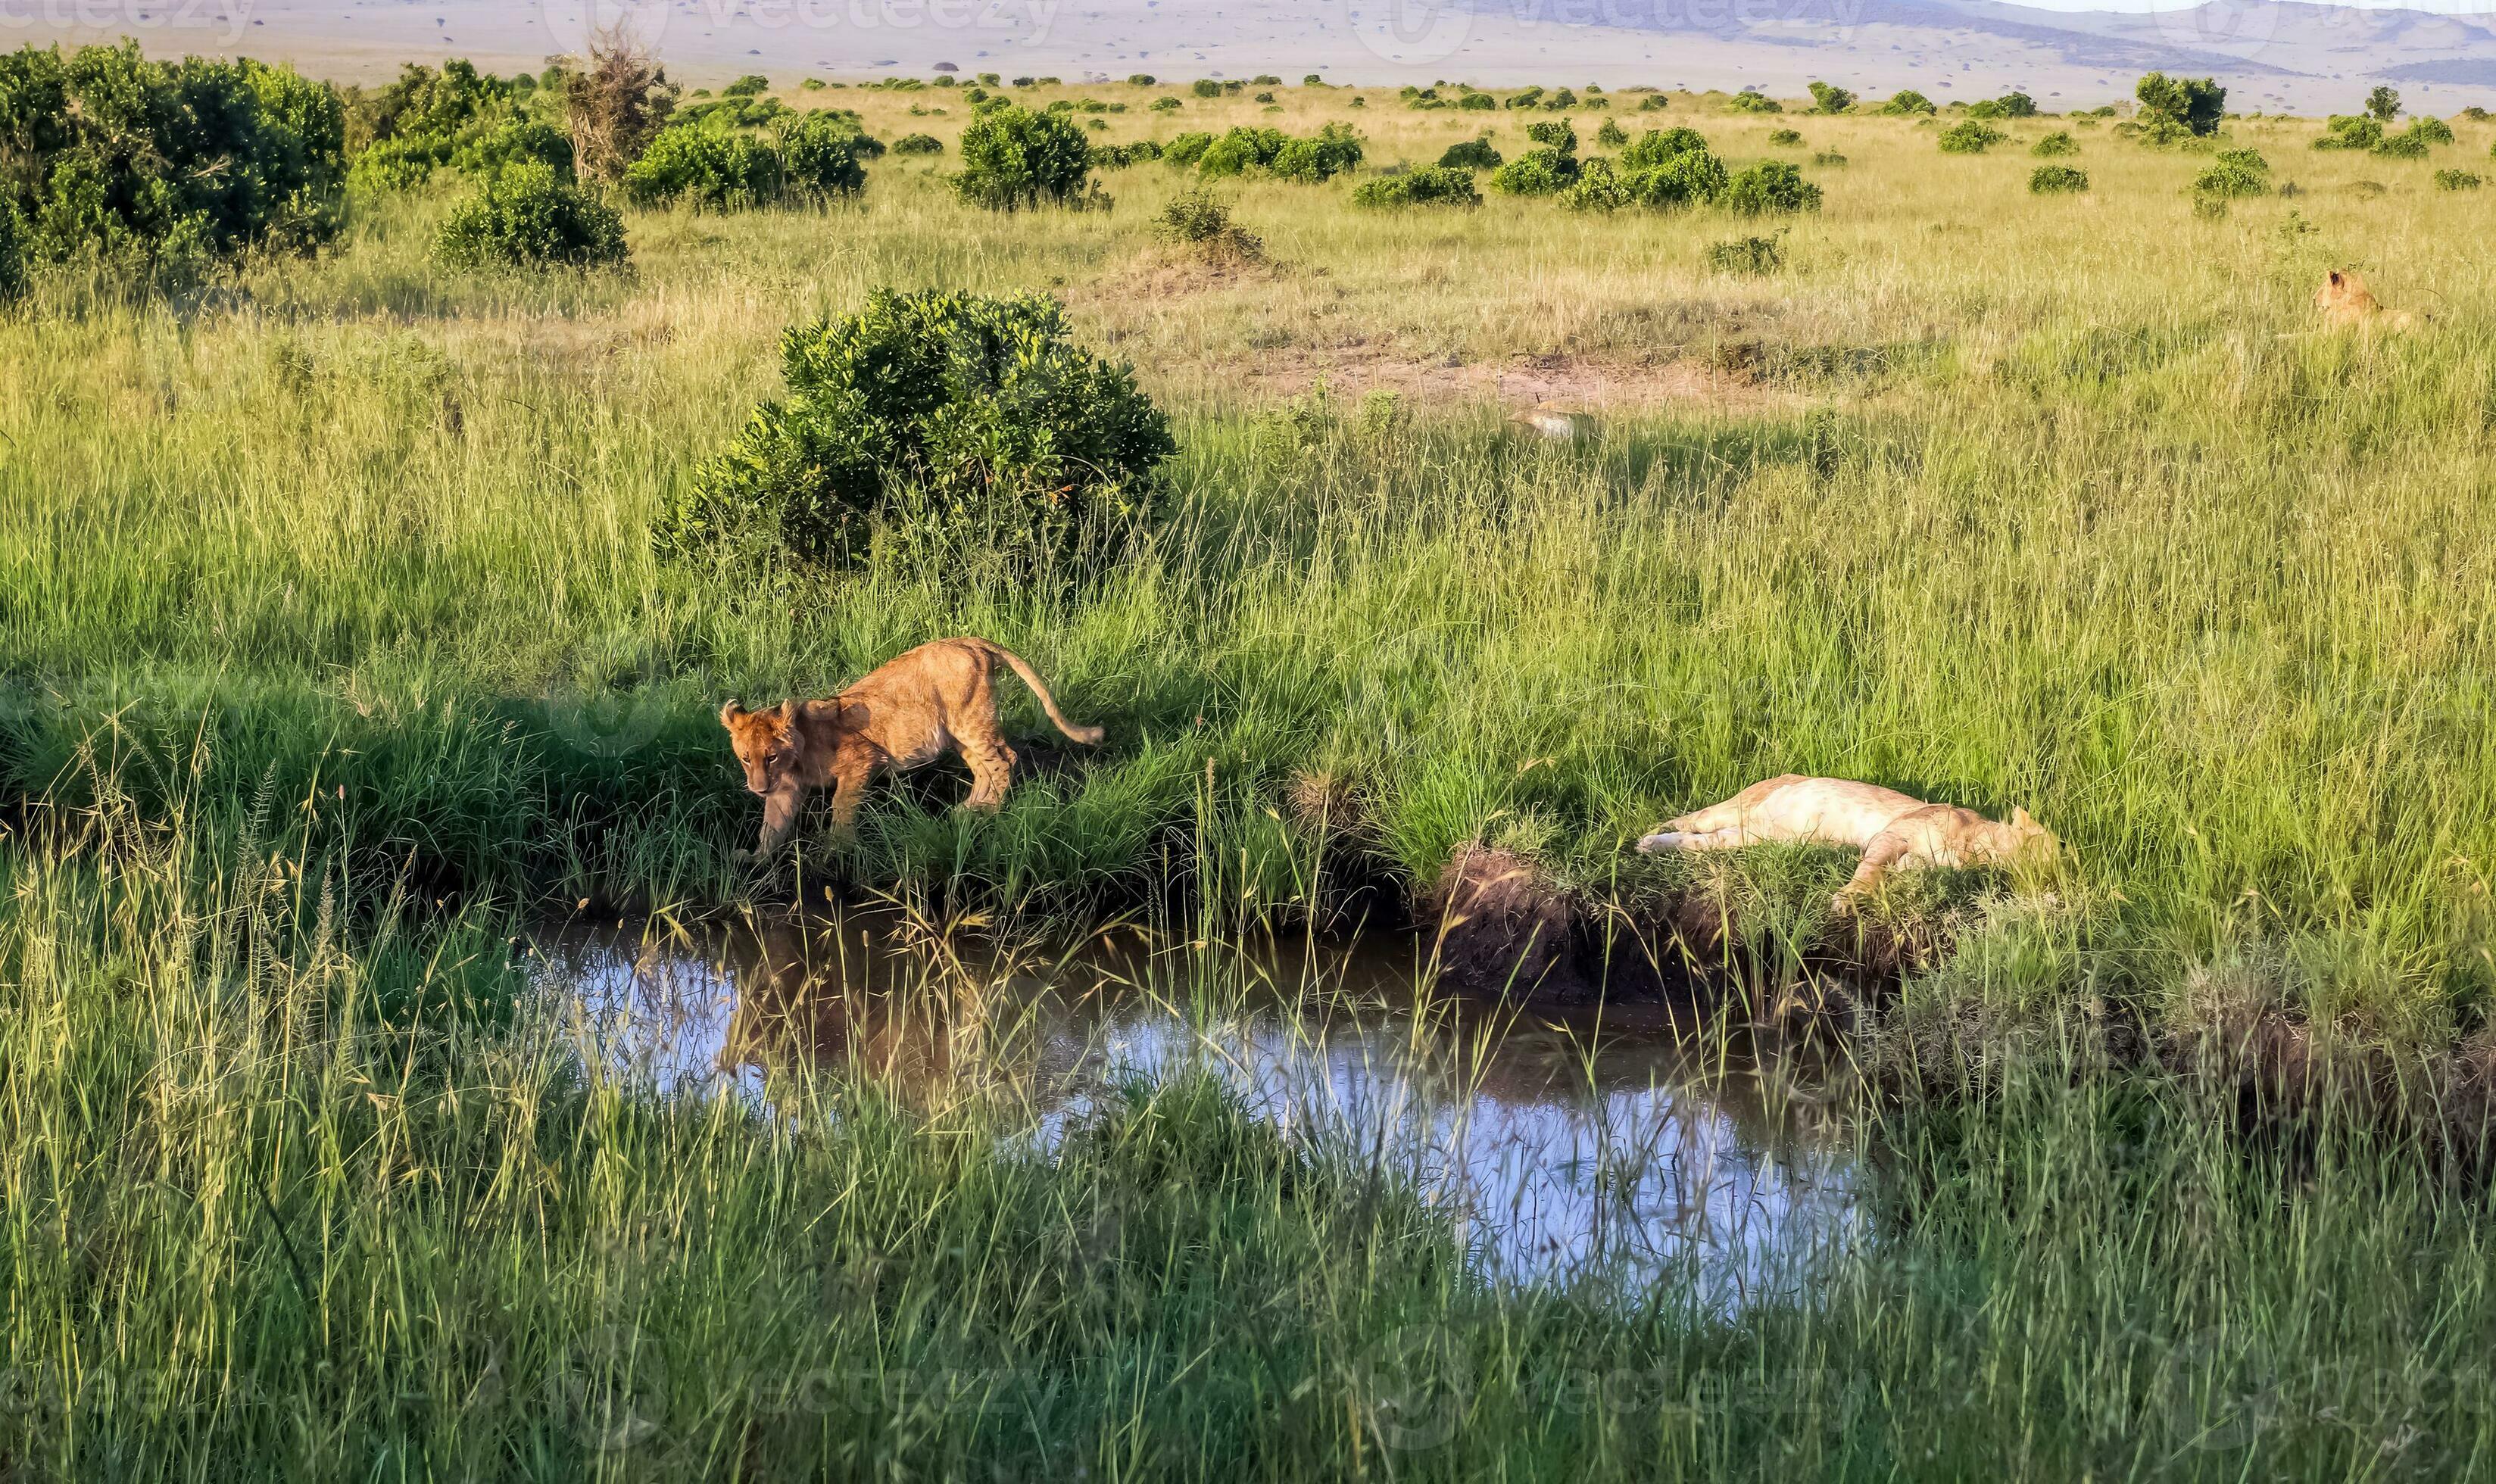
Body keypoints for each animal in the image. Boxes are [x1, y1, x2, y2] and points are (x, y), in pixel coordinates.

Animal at [720, 637, 1103, 858]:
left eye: (771, 756)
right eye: (746, 758)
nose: (758, 788)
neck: (795, 757)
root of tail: (972, 640)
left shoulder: (861, 760)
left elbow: (842, 808)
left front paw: (835, 850)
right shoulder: (784, 790)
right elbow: (772, 826)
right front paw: (756, 858)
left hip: (971, 719)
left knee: (1004, 759)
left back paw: (990, 813)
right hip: (956, 731)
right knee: (983, 766)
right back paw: (969, 811)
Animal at [1636, 775, 2055, 913]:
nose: (2058, 880)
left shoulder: (1916, 859)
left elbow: (1900, 871)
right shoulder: (1893, 833)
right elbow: (1870, 868)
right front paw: (1846, 899)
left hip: (1746, 837)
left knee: (1697, 842)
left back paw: (1653, 844)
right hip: (1734, 810)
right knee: (1690, 819)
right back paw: (1647, 835)